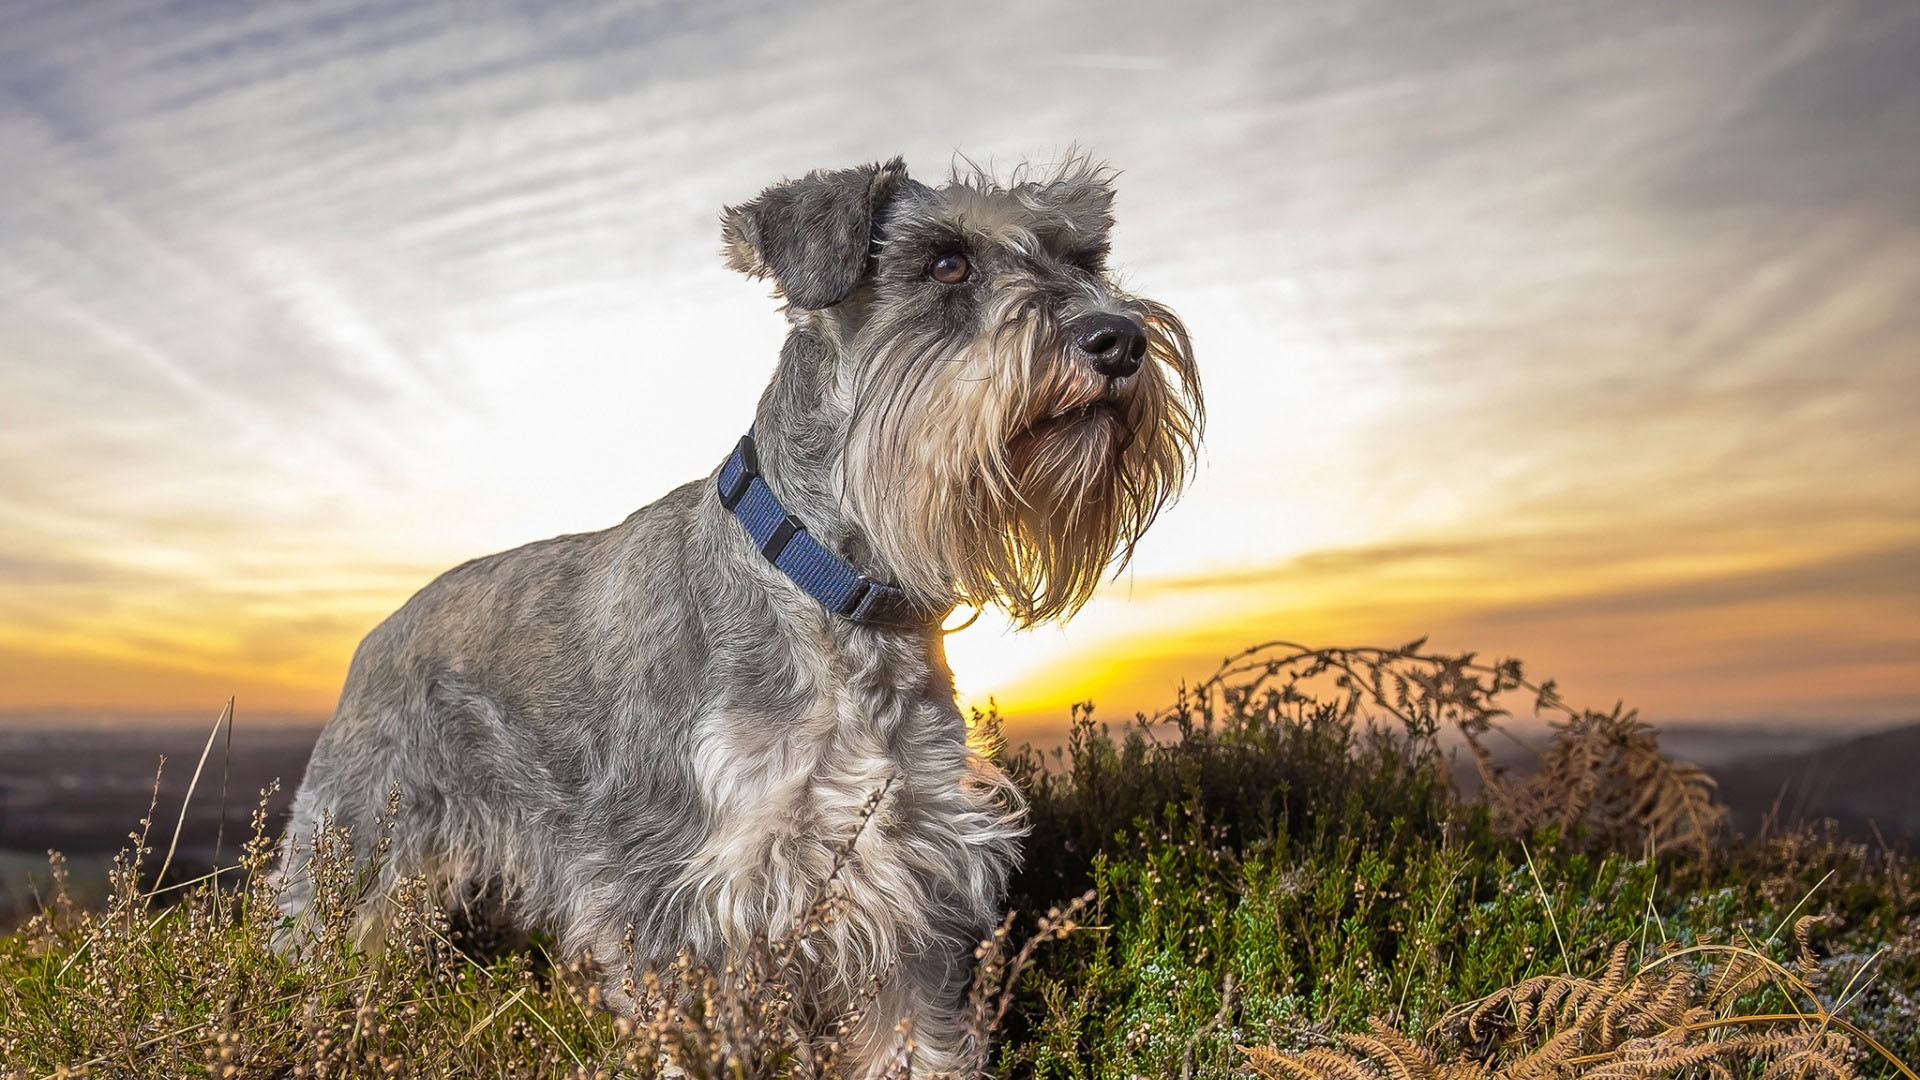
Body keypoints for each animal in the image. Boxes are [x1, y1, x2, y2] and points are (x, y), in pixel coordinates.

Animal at [274, 151, 1198, 1068]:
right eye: (946, 263)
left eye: (1083, 257)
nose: (1118, 338)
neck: (840, 602)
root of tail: (375, 636)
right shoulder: (682, 903)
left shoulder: (911, 894)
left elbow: (915, 1045)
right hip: (349, 853)